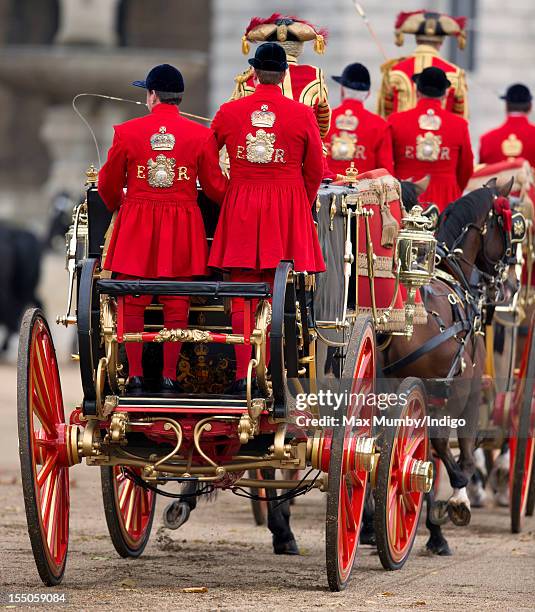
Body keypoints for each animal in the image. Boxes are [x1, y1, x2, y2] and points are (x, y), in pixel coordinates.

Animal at [382, 180, 516, 556]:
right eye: (510, 228)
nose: (512, 285)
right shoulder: (466, 395)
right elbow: (460, 452)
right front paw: (458, 498)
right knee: (439, 447)